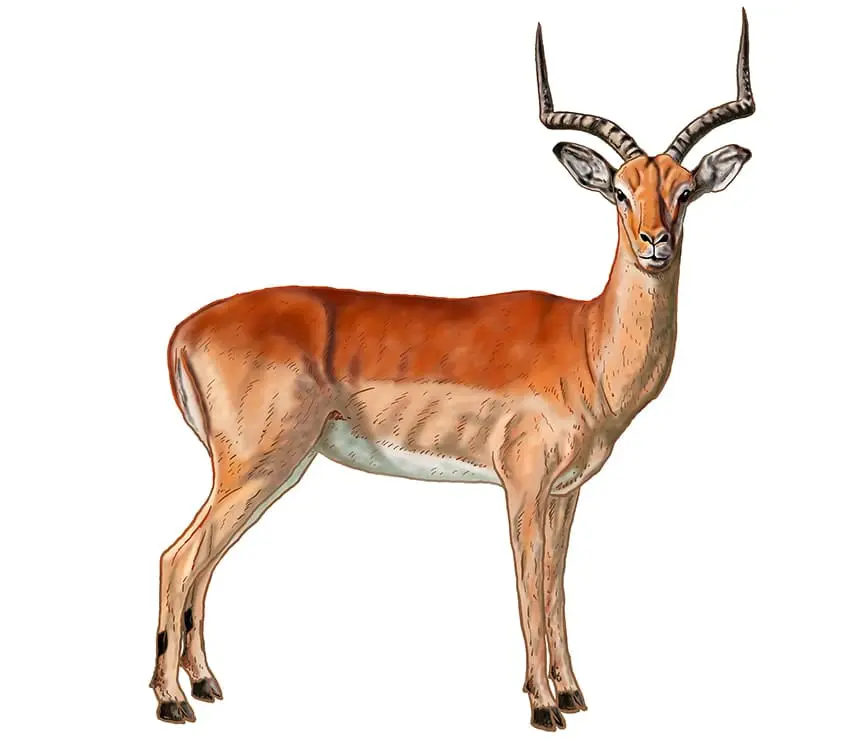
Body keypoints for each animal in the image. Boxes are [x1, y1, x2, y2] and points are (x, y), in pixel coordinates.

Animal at [151, 10, 755, 731]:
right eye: (618, 191)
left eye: (685, 191)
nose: (654, 243)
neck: (587, 342)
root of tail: (184, 329)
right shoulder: (522, 487)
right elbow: (527, 589)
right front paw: (544, 706)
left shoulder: (566, 492)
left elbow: (556, 588)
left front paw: (573, 694)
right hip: (256, 466)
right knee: (177, 557)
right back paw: (171, 702)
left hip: (272, 472)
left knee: (201, 562)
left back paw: (204, 685)